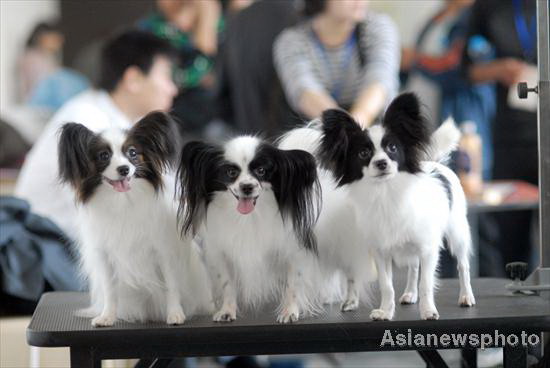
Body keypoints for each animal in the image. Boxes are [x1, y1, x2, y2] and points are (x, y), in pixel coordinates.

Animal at [58, 110, 212, 326]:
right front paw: (107, 317)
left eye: (132, 153)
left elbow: (171, 286)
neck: (123, 202)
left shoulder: (164, 252)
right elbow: (110, 290)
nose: (124, 169)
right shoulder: (105, 256)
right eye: (104, 156)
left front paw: (175, 314)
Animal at [177, 136, 324, 322]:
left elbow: (293, 284)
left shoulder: (294, 252)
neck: (248, 218)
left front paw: (289, 312)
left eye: (261, 171)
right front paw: (227, 311)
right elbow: (226, 283)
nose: (247, 187)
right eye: (231, 173)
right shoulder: (221, 255)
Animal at [314, 93, 478, 320]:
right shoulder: (381, 253)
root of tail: (435, 164)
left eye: (392, 148)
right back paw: (410, 294)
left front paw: (428, 311)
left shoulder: (428, 249)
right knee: (413, 268)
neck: (386, 193)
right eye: (364, 153)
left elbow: (426, 283)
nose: (381, 163)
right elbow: (387, 286)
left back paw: (466, 296)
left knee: (463, 265)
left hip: (457, 233)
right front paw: (385, 312)